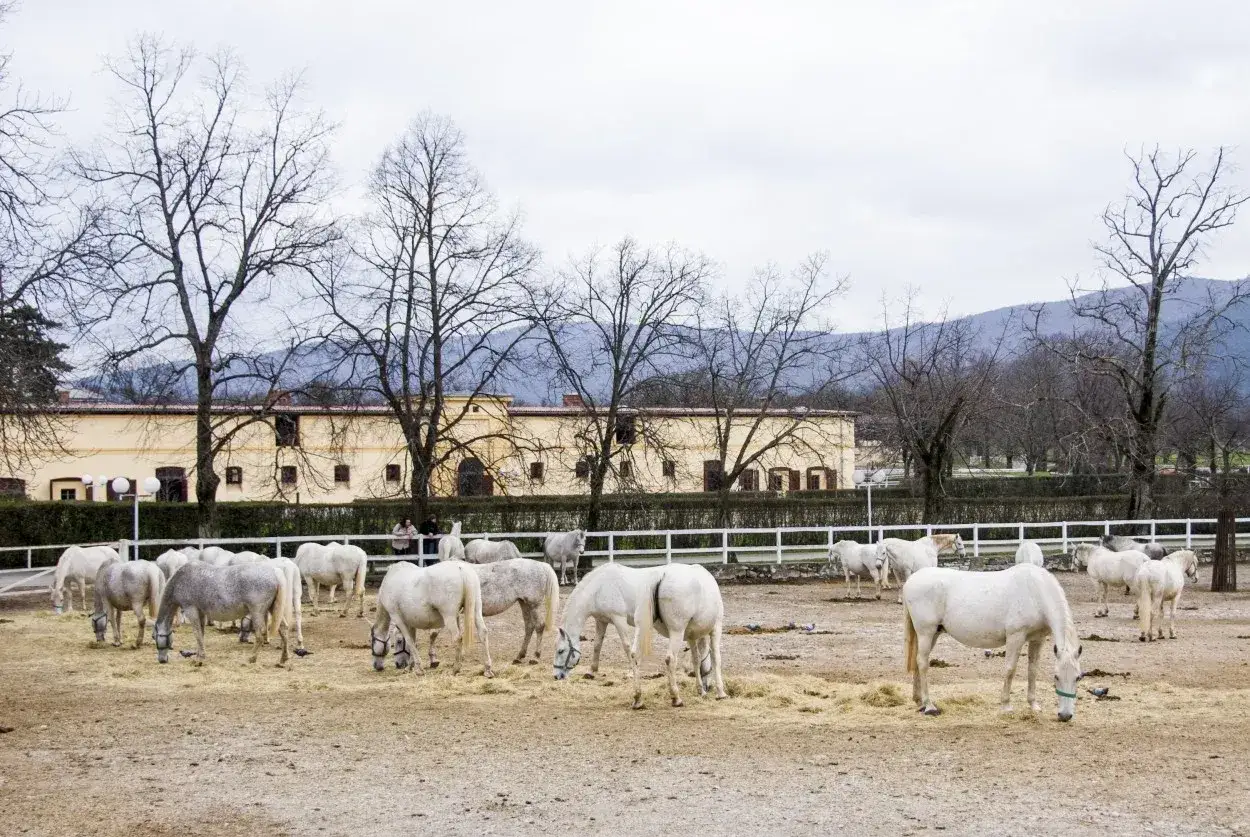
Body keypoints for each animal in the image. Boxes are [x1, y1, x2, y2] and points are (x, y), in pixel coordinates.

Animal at [151, 562, 291, 666]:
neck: (181, 580)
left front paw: (199, 659)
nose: (162, 660)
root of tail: (274, 572)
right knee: (283, 629)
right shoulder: (201, 613)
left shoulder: (191, 610)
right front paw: (199, 655)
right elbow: (201, 634)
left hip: (257, 612)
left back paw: (251, 658)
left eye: (154, 637)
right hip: (273, 610)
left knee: (260, 635)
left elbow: (197, 634)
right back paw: (283, 659)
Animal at [429, 558, 560, 666]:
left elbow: (433, 633)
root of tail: (541, 565)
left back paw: (535, 657)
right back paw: (519, 656)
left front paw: (433, 659)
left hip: (533, 605)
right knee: (529, 627)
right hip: (524, 604)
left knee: (539, 626)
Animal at [552, 562, 727, 709]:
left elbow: (615, 647)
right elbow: (598, 645)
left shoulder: (616, 619)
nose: (556, 676)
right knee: (669, 659)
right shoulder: (602, 620)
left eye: (560, 651)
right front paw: (592, 671)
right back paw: (672, 698)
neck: (600, 586)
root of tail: (661, 578)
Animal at [903, 564, 1083, 721]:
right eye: (1056, 677)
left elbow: (1033, 670)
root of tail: (911, 580)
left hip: (933, 634)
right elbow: (1010, 669)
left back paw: (919, 701)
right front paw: (1006, 705)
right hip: (926, 632)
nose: (1065, 716)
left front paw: (1033, 704)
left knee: (918, 662)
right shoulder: (1015, 637)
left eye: (1078, 678)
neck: (1035, 592)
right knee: (922, 663)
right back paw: (929, 706)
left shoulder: (1037, 639)